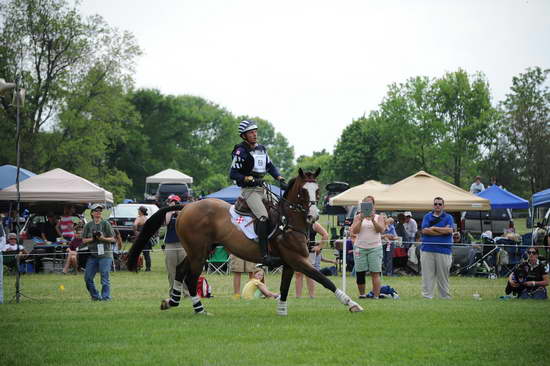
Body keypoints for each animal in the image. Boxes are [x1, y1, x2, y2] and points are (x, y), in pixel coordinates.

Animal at [127, 168, 364, 314]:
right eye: (304, 192)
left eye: (319, 190)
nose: (313, 216)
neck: (289, 221)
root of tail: (186, 206)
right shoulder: (298, 260)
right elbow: (325, 280)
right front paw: (351, 304)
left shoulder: (290, 263)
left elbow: (285, 287)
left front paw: (281, 310)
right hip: (198, 253)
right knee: (191, 277)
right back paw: (199, 309)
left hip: (199, 251)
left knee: (180, 270)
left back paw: (172, 300)